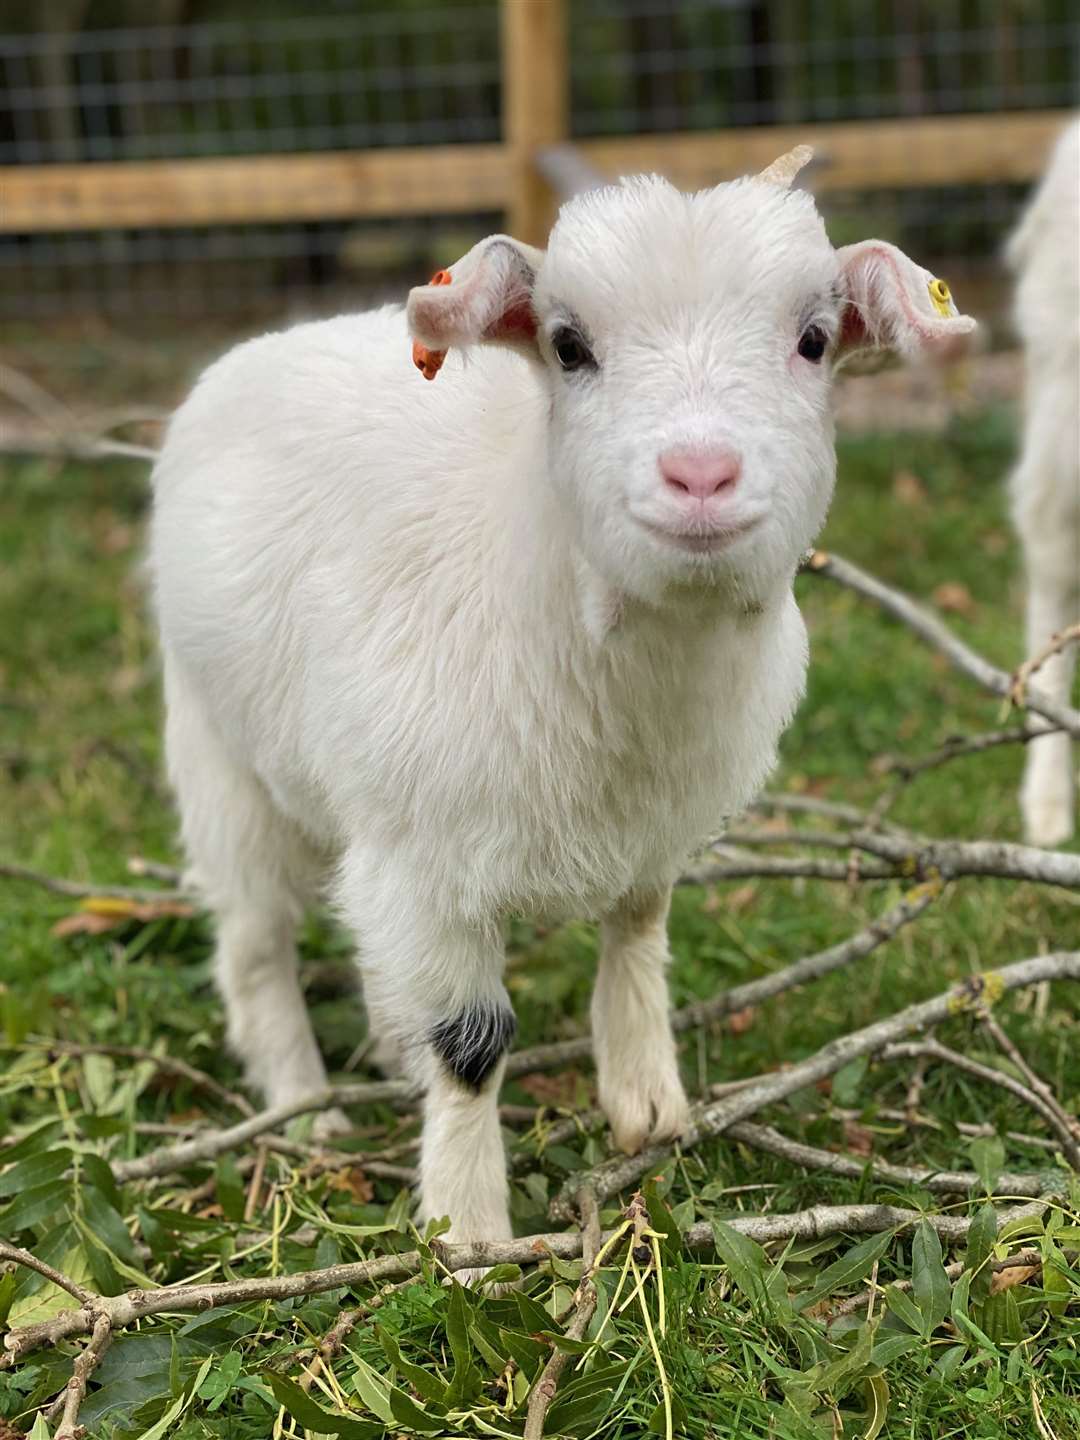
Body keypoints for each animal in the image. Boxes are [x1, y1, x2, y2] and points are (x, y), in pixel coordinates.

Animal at [150, 151, 973, 1267]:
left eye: (812, 341)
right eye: (569, 345)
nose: (701, 475)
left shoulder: (653, 824)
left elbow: (637, 930)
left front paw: (647, 1105)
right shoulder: (425, 855)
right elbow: (471, 1045)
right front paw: (467, 1235)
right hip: (218, 756)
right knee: (253, 943)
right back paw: (303, 1108)